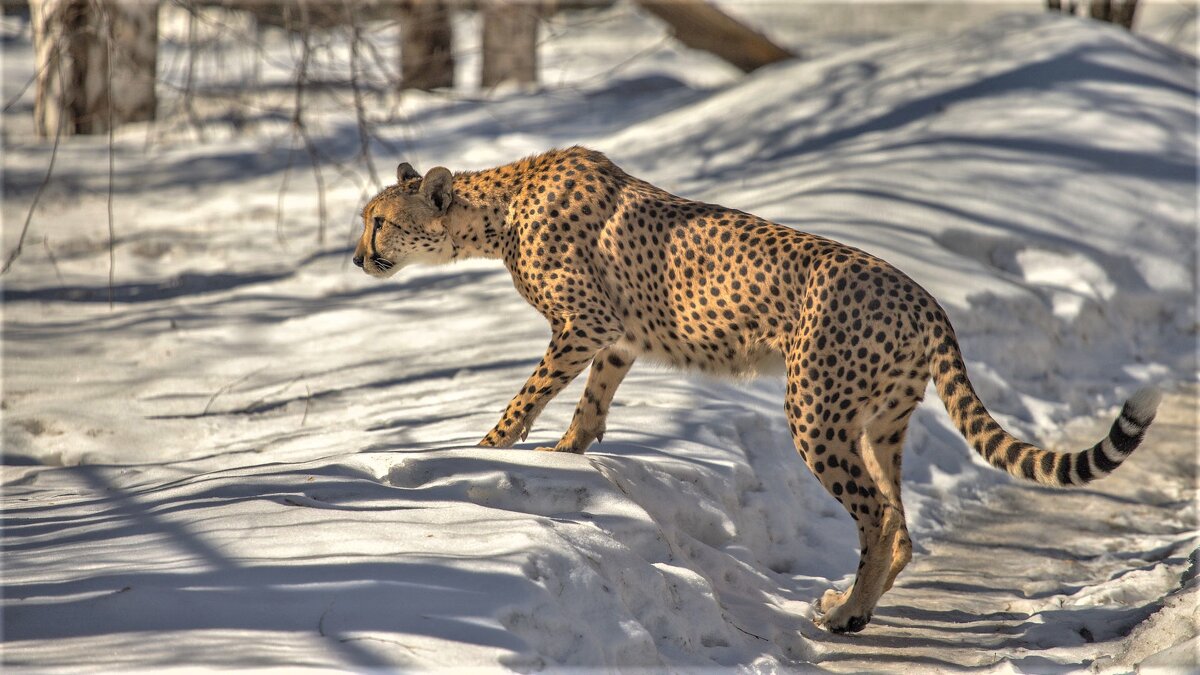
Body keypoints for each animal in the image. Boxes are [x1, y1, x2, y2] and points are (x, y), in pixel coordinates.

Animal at [350, 145, 1156, 629]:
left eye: (380, 221)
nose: (357, 259)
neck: (497, 208)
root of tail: (923, 295)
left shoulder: (585, 323)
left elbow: (528, 394)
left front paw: (488, 448)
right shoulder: (617, 337)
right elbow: (591, 402)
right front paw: (569, 451)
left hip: (815, 411)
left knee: (874, 514)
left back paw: (844, 615)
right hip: (880, 422)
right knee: (898, 518)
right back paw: (853, 600)